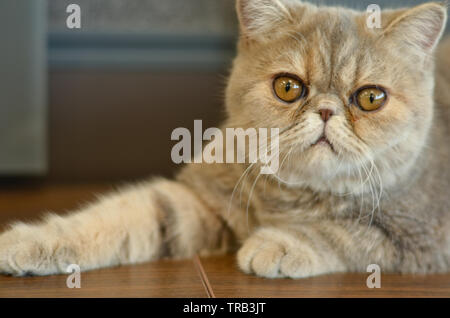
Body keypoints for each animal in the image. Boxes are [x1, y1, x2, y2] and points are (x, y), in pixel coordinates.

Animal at [0, 0, 450, 278]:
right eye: (288, 87)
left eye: (371, 98)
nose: (325, 111)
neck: (293, 195)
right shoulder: (199, 201)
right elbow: (116, 217)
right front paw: (30, 242)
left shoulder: (418, 241)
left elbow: (342, 233)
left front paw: (277, 244)